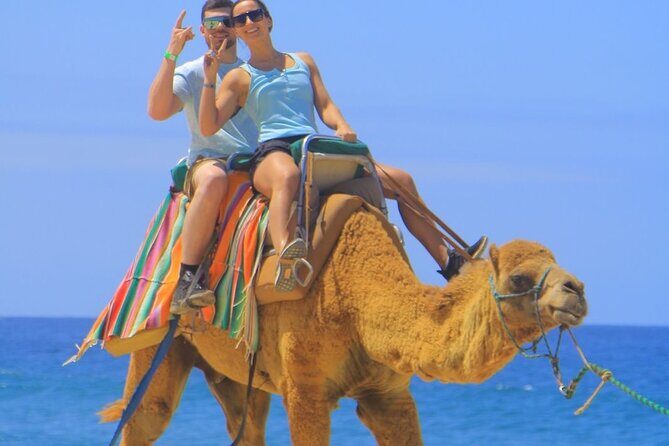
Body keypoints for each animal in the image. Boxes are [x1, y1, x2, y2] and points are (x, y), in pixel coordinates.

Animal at [100, 208, 587, 445]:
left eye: (556, 261)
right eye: (519, 279)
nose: (577, 290)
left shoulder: (388, 393)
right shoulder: (306, 390)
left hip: (240, 373)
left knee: (246, 425)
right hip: (156, 335)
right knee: (146, 417)